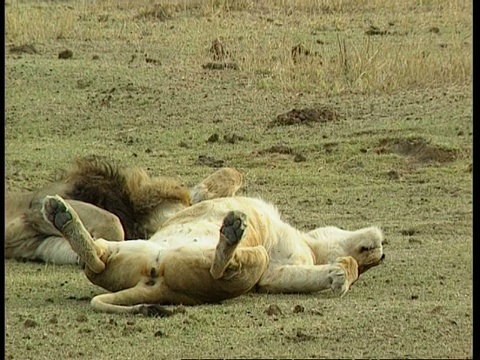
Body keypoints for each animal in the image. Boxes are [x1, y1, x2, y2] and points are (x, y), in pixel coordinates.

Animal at [40, 191, 386, 316]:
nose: (381, 255)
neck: (311, 248)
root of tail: (159, 285)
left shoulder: (270, 273)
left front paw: (342, 273)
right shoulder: (275, 274)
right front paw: (343, 270)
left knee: (221, 269)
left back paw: (232, 231)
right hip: (132, 249)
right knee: (97, 261)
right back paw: (61, 214)